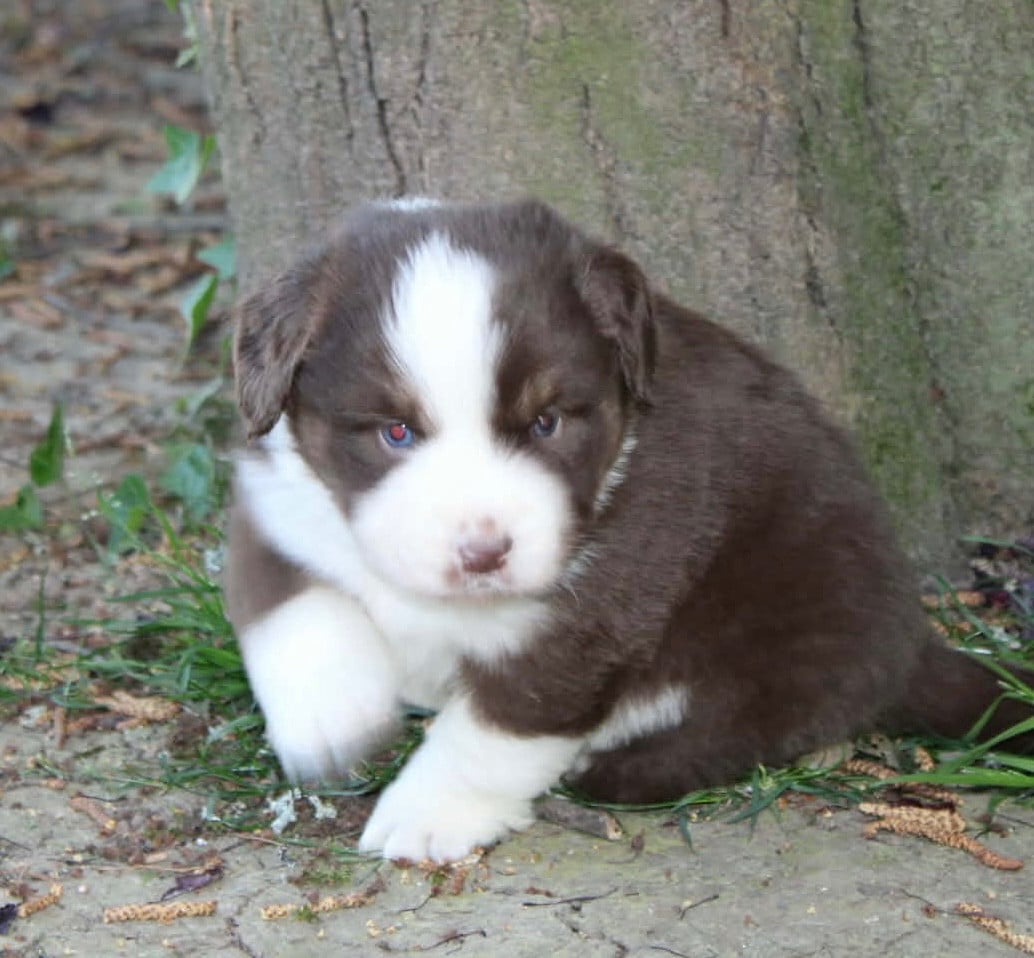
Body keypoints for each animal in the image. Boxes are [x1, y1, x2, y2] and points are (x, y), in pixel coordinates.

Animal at [224, 198, 1032, 863]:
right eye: (395, 432)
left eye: (548, 422)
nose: (485, 553)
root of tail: (912, 641)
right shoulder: (275, 500)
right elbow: (287, 608)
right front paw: (332, 720)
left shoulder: (591, 614)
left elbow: (496, 726)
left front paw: (427, 813)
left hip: (789, 612)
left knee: (755, 723)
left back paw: (624, 766)